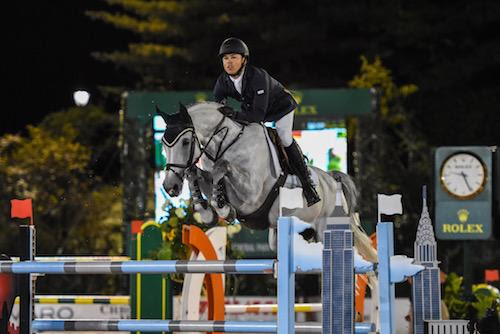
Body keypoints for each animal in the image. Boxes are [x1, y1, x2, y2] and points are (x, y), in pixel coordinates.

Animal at [158, 100, 376, 262]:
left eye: (186, 142)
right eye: (163, 144)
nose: (170, 187)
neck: (228, 144)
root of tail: (332, 179)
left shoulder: (251, 195)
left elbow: (223, 168)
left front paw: (224, 209)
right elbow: (197, 174)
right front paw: (205, 210)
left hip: (326, 230)